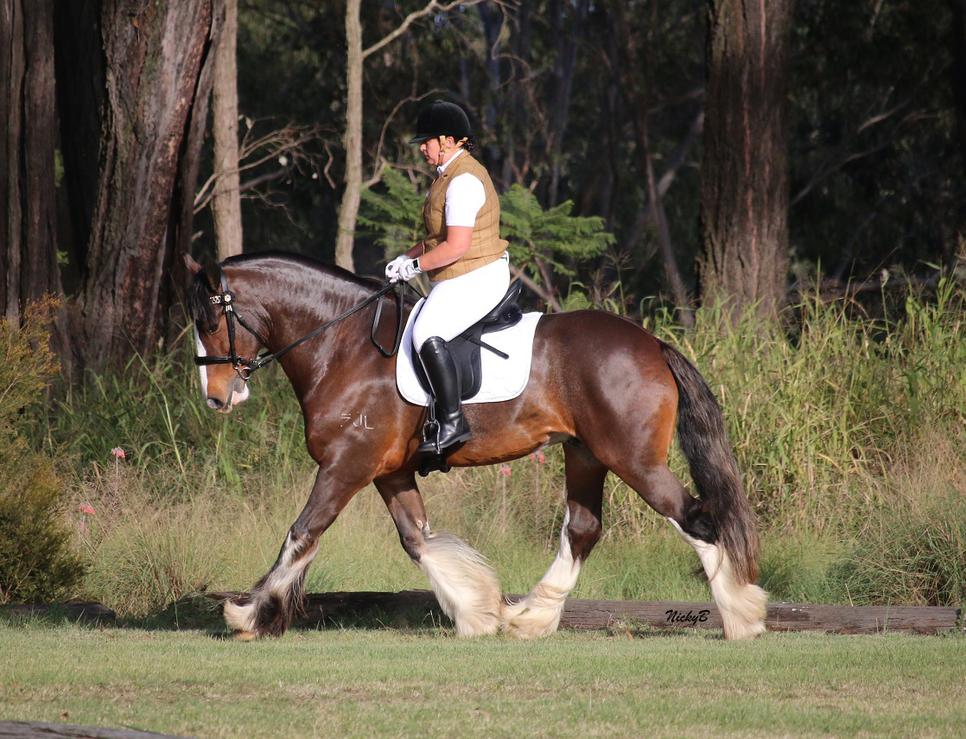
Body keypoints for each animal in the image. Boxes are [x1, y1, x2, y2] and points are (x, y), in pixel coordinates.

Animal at [185, 253, 768, 640]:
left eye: (210, 320)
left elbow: (303, 532)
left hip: (634, 459)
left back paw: (742, 617)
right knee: (583, 529)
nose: (217, 397)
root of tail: (652, 343)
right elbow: (418, 541)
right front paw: (478, 612)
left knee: (696, 518)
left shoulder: (345, 464)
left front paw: (247, 614)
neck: (341, 344)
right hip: (585, 454)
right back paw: (530, 617)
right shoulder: (387, 471)